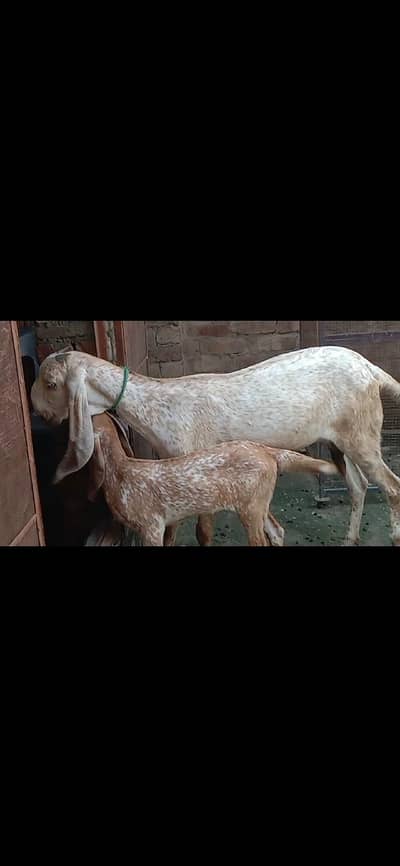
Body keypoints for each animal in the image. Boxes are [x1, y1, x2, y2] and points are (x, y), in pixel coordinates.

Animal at [86, 413, 338, 546]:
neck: (121, 472)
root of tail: (267, 452)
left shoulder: (152, 527)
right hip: (259, 505)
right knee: (276, 531)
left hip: (250, 510)